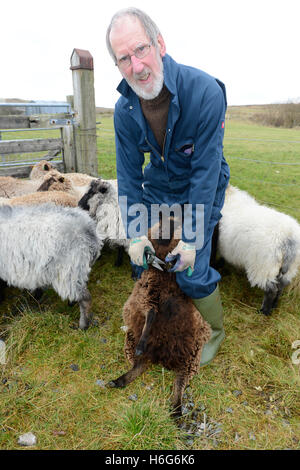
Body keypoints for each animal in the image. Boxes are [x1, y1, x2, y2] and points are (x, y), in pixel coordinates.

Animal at [107, 218, 211, 418]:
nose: (171, 219)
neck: (163, 274)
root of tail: (161, 357)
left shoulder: (151, 298)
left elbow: (151, 317)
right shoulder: (149, 298)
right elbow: (151, 317)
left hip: (191, 357)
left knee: (178, 381)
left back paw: (176, 409)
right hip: (133, 340)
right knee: (141, 366)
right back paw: (120, 381)